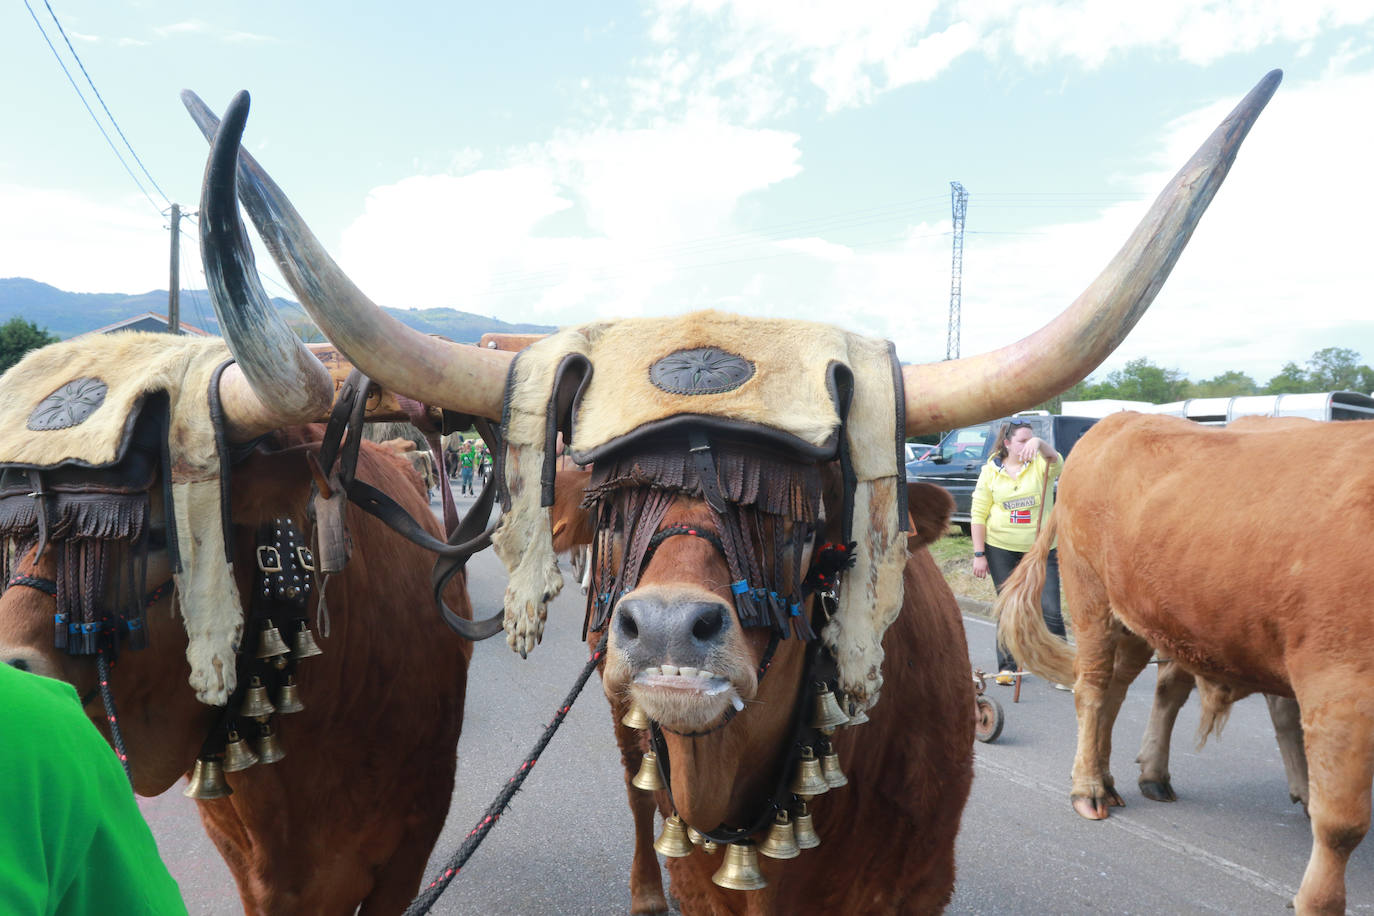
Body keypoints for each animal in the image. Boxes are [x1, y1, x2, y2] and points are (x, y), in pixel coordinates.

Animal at [1000, 411, 1374, 911]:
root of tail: (1117, 420)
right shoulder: (1340, 684)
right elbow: (1341, 825)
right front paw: (1317, 901)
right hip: (1089, 595)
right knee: (1092, 689)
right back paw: (1089, 787)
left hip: (1138, 619)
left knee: (1118, 691)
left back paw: (1117, 777)